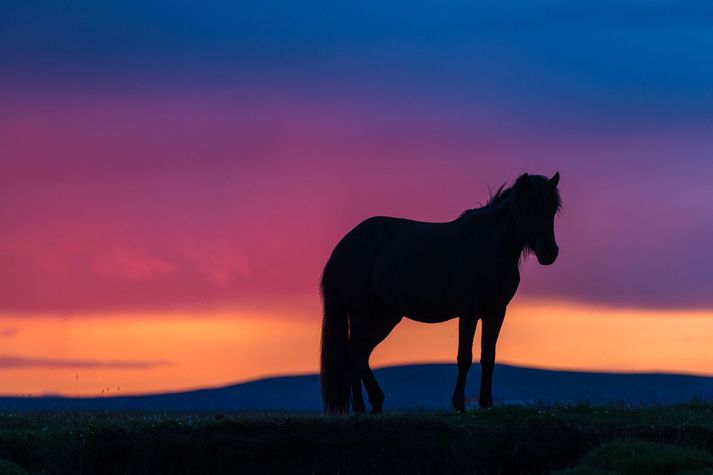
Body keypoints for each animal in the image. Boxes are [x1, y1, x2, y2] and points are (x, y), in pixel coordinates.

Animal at [320, 173, 560, 414]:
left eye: (552, 209)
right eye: (529, 208)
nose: (549, 253)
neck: (485, 247)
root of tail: (340, 248)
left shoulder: (496, 312)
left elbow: (488, 357)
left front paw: (485, 403)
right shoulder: (469, 311)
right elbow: (464, 357)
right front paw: (459, 404)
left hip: (385, 317)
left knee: (362, 354)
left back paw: (376, 403)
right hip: (360, 312)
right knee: (353, 353)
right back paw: (360, 408)